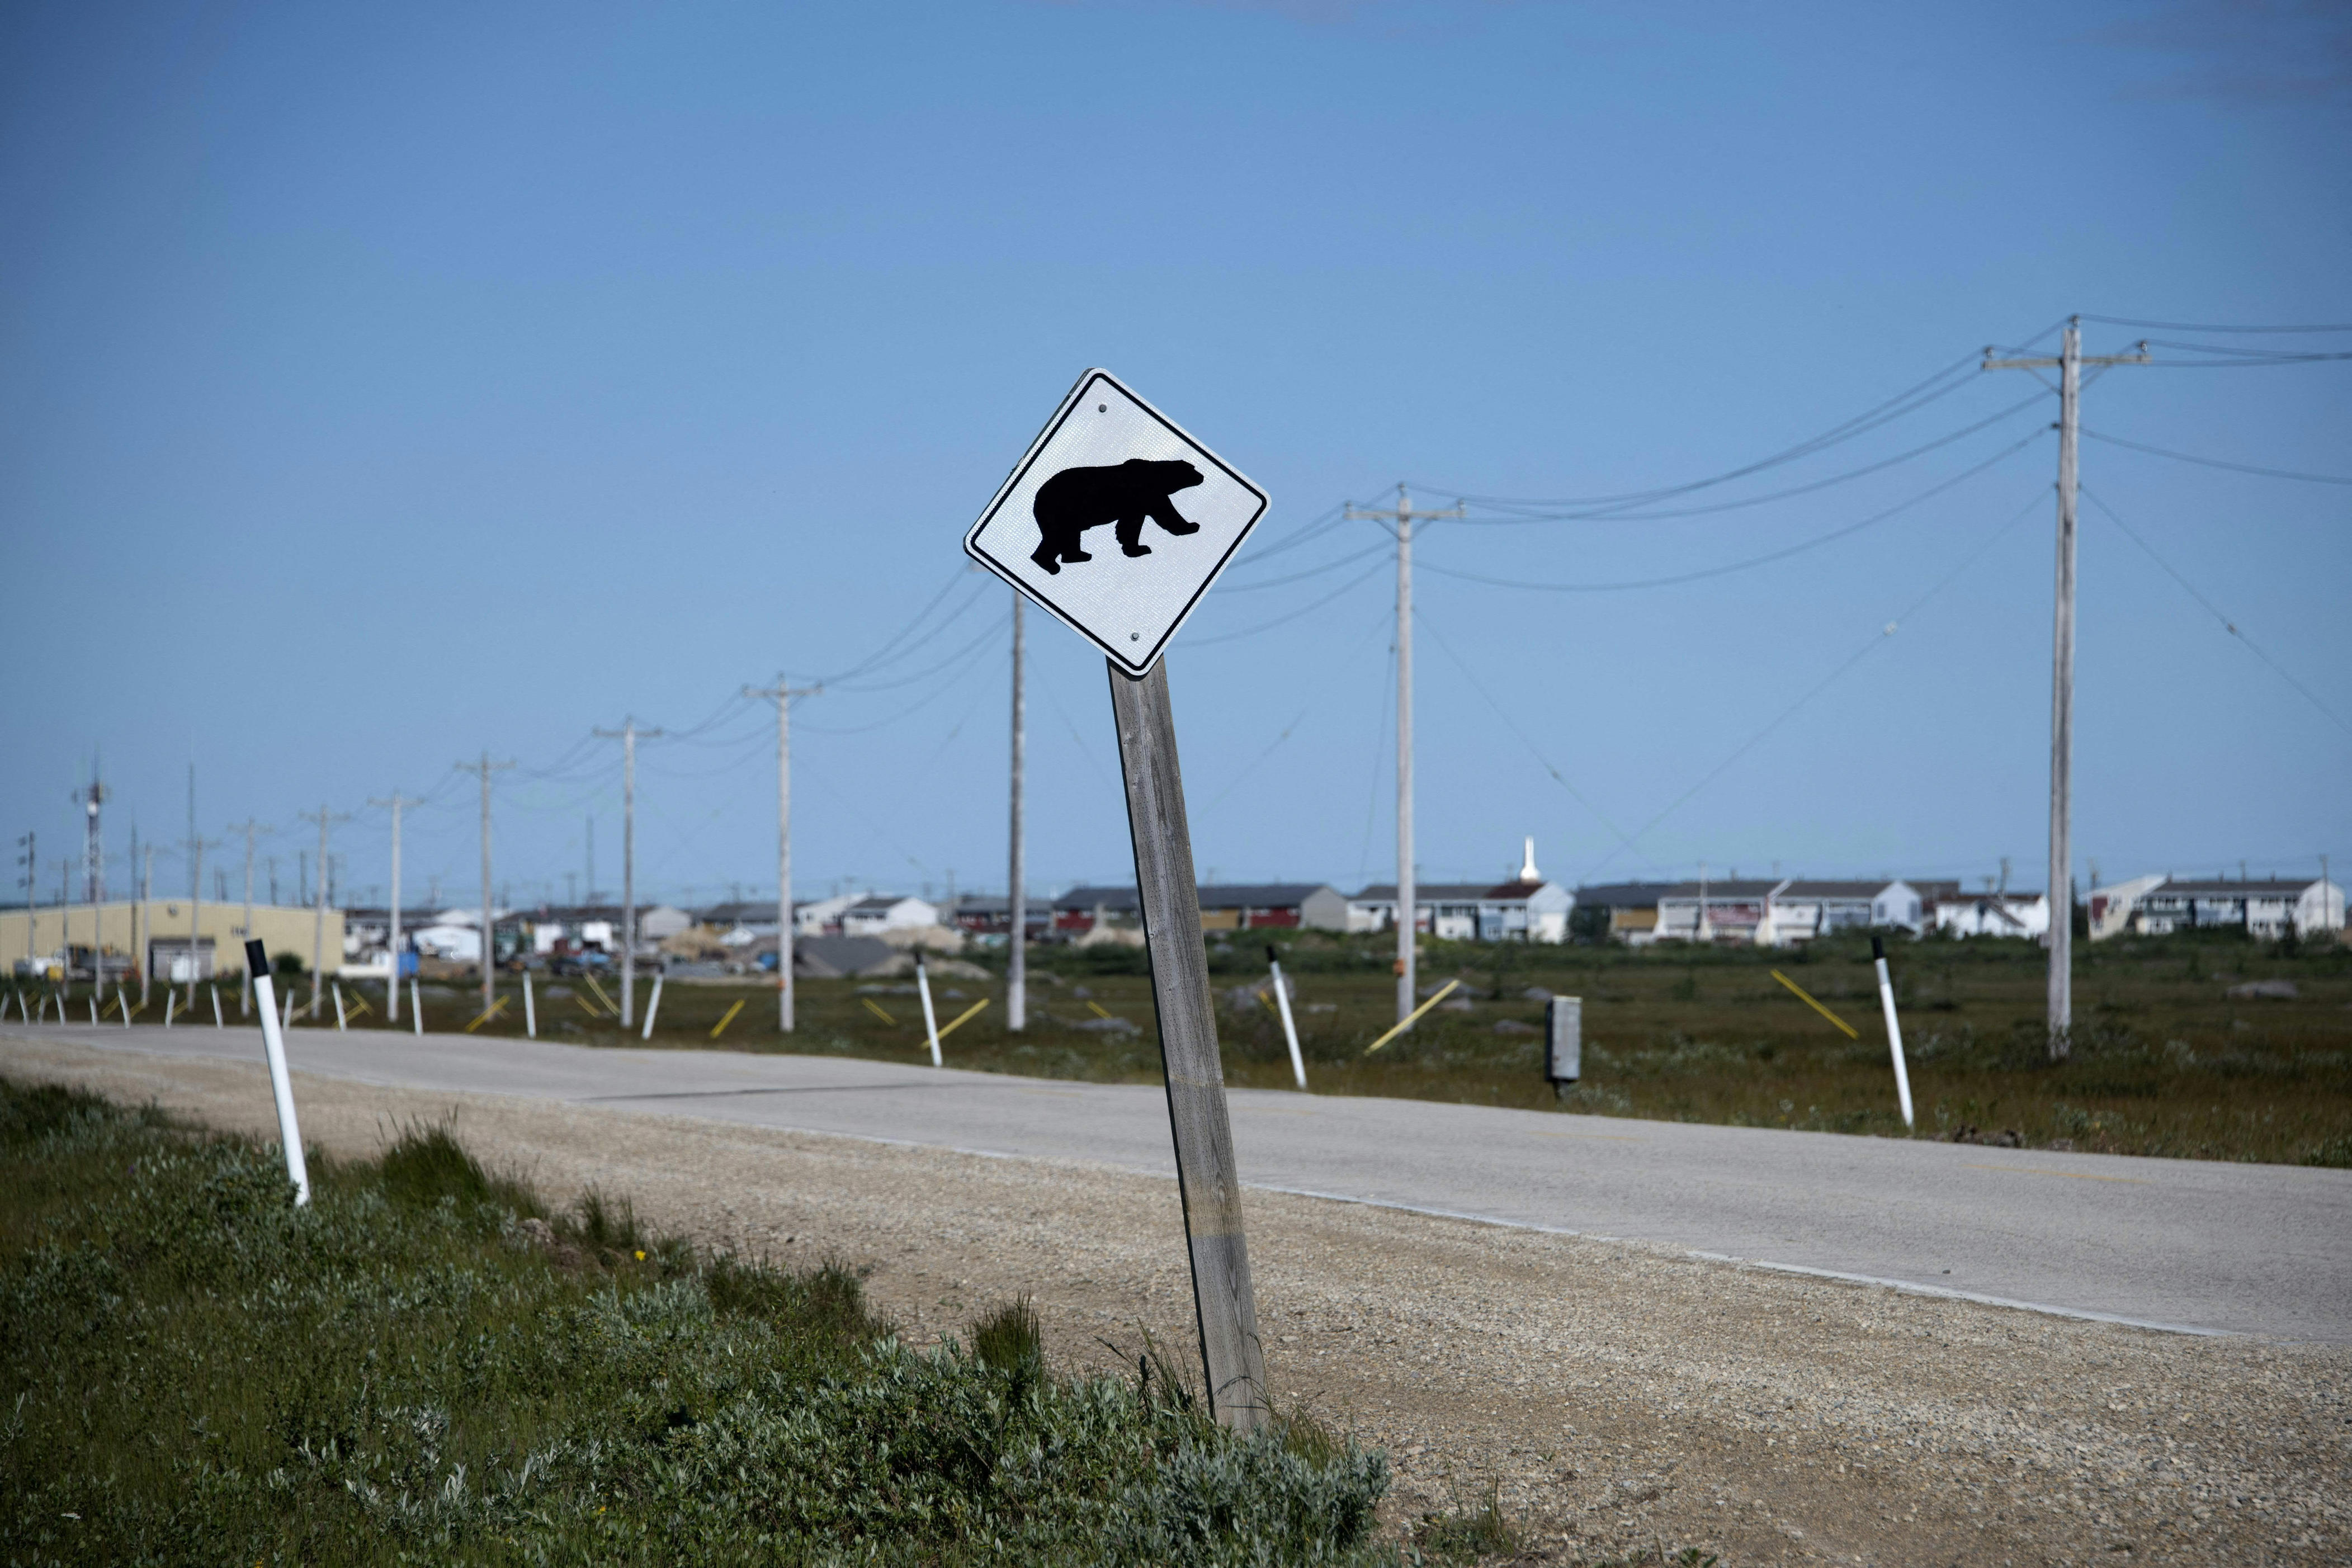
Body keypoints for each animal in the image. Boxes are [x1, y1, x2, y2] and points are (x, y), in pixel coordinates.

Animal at [1029, 458, 1205, 574]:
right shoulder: (1146, 493)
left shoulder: (1136, 504)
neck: (1156, 477)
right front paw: (1192, 526)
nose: (1202, 476)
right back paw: (1054, 564)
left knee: (1065, 536)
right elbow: (1165, 513)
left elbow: (1129, 524)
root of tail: (1037, 496)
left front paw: (1134, 548)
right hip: (1062, 510)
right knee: (1060, 535)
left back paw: (1075, 556)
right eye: (1193, 469)